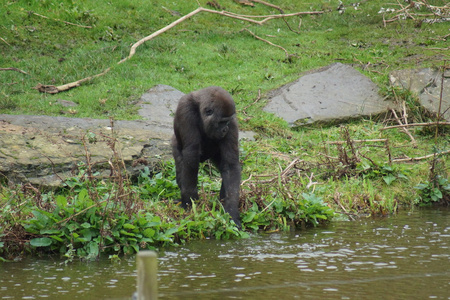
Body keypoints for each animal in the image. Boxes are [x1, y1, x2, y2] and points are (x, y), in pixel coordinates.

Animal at [172, 86, 243, 227]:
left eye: (227, 122)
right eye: (221, 122)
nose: (225, 130)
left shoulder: (232, 120)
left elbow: (230, 165)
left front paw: (231, 211)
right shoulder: (185, 110)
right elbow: (191, 155)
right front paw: (189, 201)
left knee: (225, 169)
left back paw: (222, 200)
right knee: (181, 163)